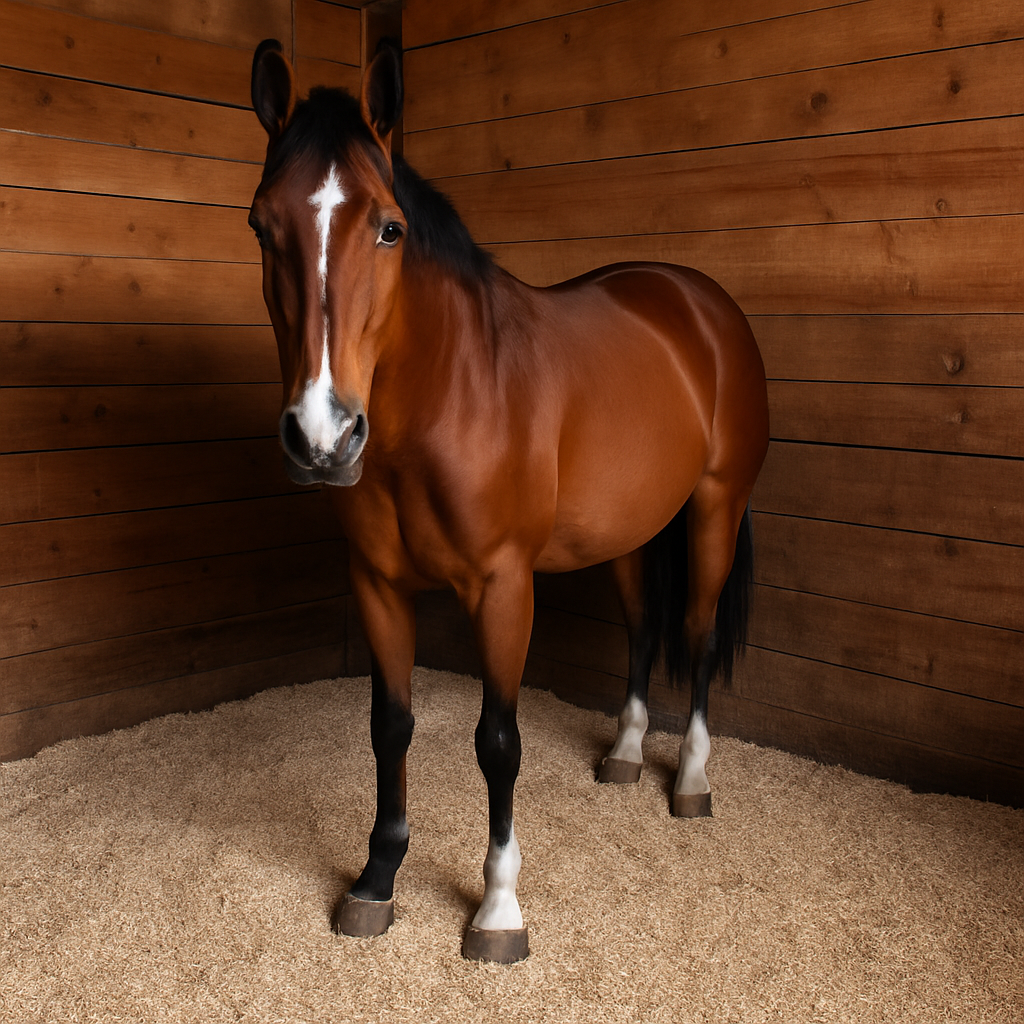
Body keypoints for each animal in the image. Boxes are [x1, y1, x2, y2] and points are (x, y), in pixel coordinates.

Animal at [248, 39, 770, 963]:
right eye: (261, 224)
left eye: (389, 227)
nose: (321, 434)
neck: (450, 397)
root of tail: (699, 301)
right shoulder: (377, 585)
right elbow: (390, 725)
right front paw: (377, 879)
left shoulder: (504, 588)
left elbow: (497, 742)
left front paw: (496, 906)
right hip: (629, 533)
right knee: (643, 627)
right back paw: (626, 753)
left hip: (716, 508)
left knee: (700, 634)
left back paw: (691, 779)